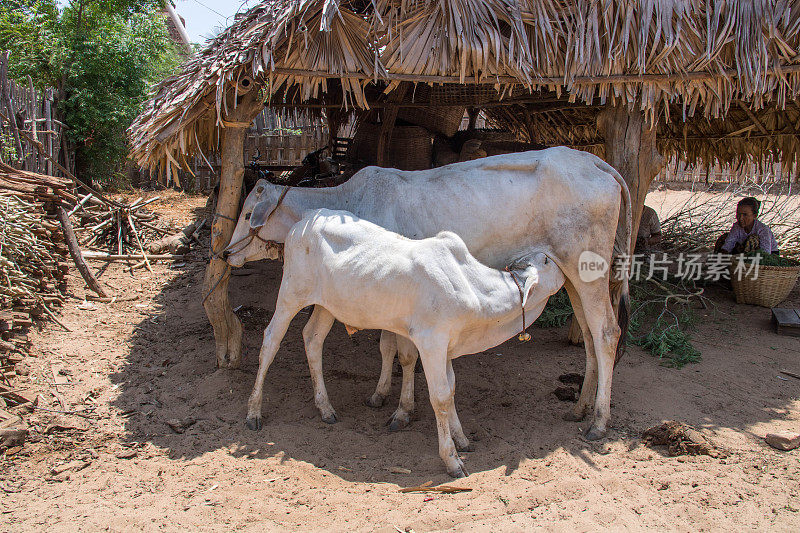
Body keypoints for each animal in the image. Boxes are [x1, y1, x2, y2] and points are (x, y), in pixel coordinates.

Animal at [225, 148, 632, 438]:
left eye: (246, 214)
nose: (227, 253)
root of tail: (597, 163)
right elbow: (388, 348)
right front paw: (382, 394)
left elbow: (400, 352)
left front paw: (401, 409)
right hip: (572, 276)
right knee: (589, 335)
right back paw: (580, 408)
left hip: (588, 270)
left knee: (606, 333)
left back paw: (599, 422)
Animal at [247, 209, 564, 478]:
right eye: (547, 261)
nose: (562, 263)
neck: (474, 287)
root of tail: (305, 220)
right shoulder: (432, 341)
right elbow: (440, 396)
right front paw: (451, 460)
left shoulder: (447, 344)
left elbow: (451, 390)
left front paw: (462, 439)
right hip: (291, 294)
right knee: (270, 341)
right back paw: (253, 413)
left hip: (327, 306)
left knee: (313, 339)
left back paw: (325, 408)